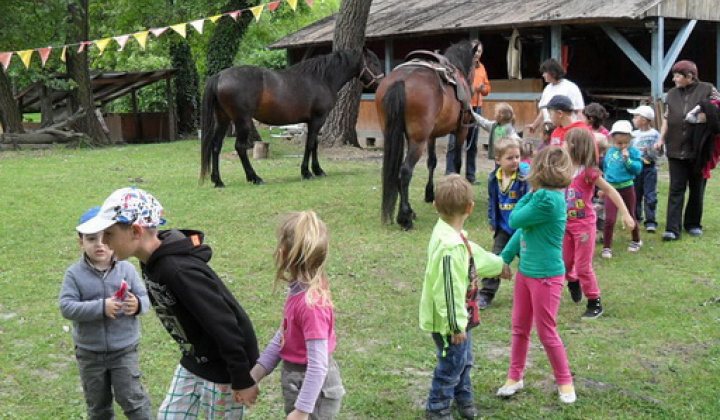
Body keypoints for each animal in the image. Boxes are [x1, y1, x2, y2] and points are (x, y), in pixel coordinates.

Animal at [200, 48, 386, 186]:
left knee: (216, 146)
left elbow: (314, 144)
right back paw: (255, 178)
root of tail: (219, 76)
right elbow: (310, 144)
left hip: (223, 120)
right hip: (242, 121)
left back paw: (218, 181)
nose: (381, 82)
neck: (322, 79)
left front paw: (317, 170)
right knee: (240, 147)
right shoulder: (318, 119)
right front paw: (307, 172)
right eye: (374, 62)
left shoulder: (313, 121)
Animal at [376, 40, 478, 230]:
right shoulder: (461, 131)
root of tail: (401, 80)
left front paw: (430, 193)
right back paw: (405, 218)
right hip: (418, 141)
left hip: (395, 135)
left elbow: (432, 162)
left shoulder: (432, 136)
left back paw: (409, 211)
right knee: (405, 171)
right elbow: (457, 161)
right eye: (477, 63)